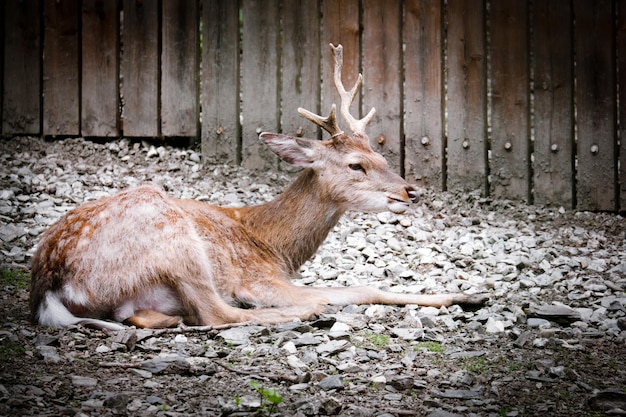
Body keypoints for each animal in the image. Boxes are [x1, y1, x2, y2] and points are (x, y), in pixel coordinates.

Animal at [30, 44, 488, 330]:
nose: (411, 192)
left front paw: (473, 296)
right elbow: (361, 287)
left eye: (383, 157)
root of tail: (50, 286)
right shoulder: (257, 277)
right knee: (218, 314)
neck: (274, 246)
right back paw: (307, 314)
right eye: (356, 165)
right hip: (175, 239)